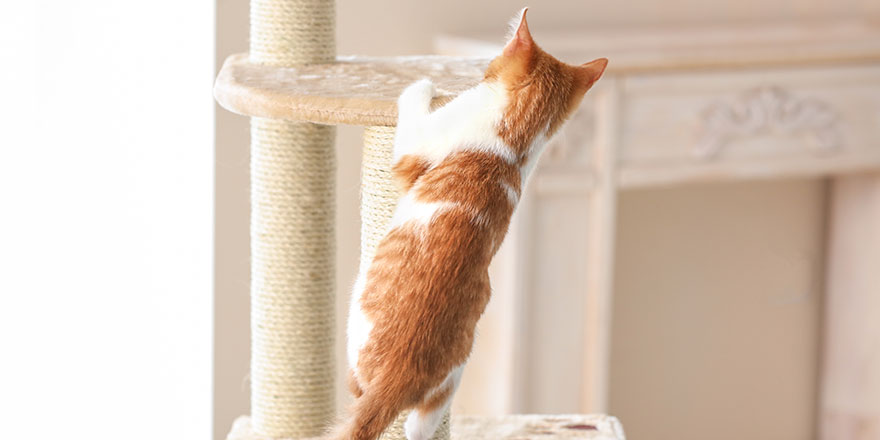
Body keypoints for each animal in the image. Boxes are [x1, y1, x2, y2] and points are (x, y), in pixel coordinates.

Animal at [336, 7, 604, 440]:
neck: (516, 136)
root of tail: (403, 370)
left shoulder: (413, 149)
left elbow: (413, 102)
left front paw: (424, 82)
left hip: (355, 318)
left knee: (356, 391)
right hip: (447, 386)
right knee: (418, 427)